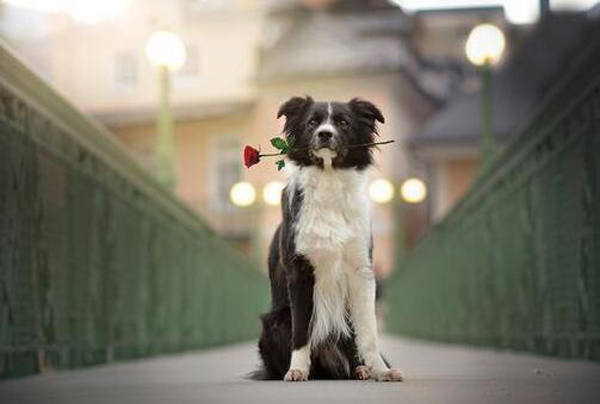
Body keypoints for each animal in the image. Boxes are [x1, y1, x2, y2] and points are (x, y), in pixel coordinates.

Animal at [254, 95, 400, 382]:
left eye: (343, 122)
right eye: (312, 122)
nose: (324, 134)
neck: (329, 181)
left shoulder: (361, 272)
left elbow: (369, 333)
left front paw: (380, 369)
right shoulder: (300, 273)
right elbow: (301, 332)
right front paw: (297, 370)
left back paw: (361, 369)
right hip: (273, 323)